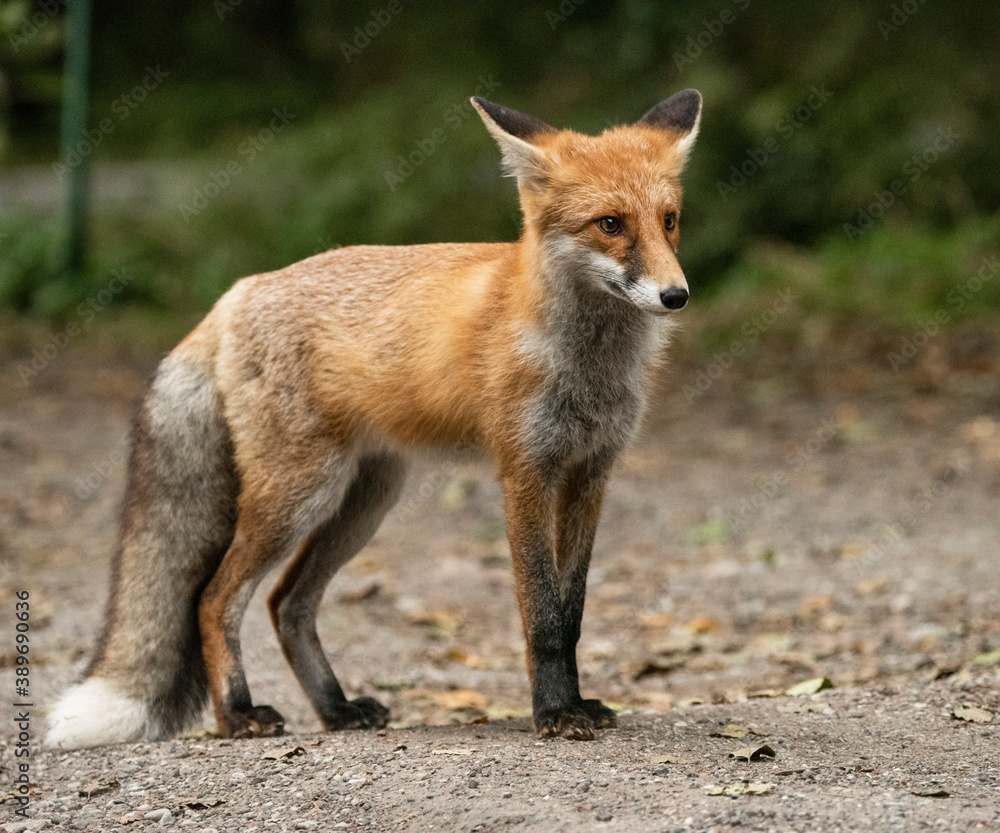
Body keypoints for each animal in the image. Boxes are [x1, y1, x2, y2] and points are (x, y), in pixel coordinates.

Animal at [47, 91, 704, 748]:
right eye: (610, 224)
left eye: (669, 220)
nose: (677, 295)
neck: (586, 364)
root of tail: (235, 293)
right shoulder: (526, 472)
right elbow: (541, 614)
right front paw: (553, 713)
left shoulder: (590, 474)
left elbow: (572, 613)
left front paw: (577, 702)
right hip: (299, 495)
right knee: (213, 599)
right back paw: (238, 714)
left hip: (362, 504)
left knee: (286, 604)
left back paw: (336, 709)